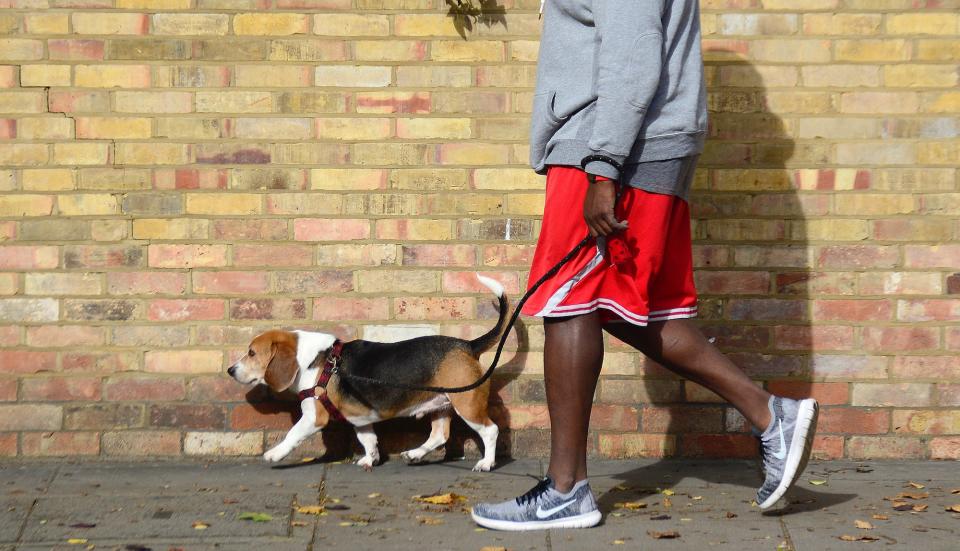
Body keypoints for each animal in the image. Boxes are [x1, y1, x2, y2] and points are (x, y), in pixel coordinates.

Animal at [228, 274, 506, 472]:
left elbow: (293, 433)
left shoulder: (313, 417)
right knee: (439, 435)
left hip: (467, 404)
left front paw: (275, 453)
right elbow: (369, 441)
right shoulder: (360, 418)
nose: (230, 370)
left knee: (490, 430)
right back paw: (415, 453)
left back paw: (486, 463)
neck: (314, 361)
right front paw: (370, 460)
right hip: (441, 404)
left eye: (251, 353)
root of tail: (468, 345)